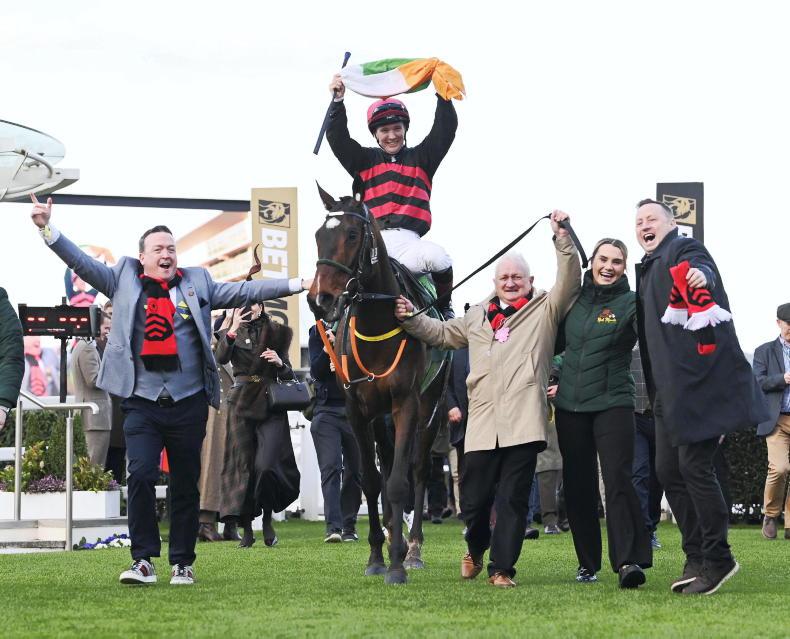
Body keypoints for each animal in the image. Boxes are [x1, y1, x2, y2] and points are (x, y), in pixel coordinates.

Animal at [307, 185, 448, 585]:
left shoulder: (406, 404)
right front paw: (376, 556)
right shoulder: (358, 411)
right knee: (385, 465)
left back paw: (412, 548)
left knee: (418, 469)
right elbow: (371, 481)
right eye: (318, 236)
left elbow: (400, 481)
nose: (319, 299)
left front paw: (398, 564)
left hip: (431, 409)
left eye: (353, 235)